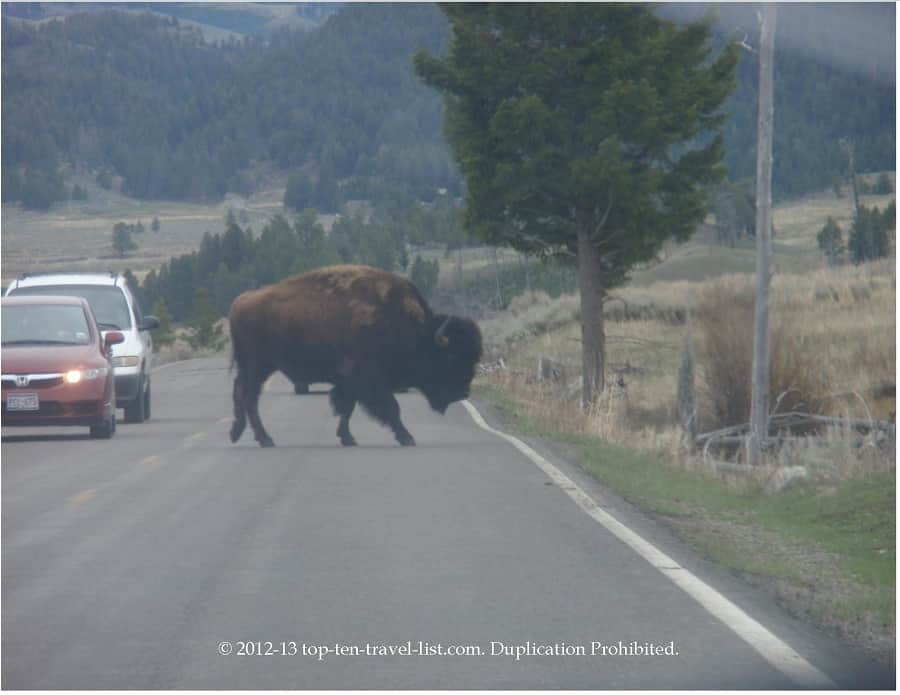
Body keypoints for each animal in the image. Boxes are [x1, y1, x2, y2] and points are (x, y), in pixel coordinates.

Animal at [228, 265, 482, 447]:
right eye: (450, 358)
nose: (463, 392)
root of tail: (239, 301)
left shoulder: (350, 383)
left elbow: (346, 409)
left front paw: (347, 438)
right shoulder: (368, 379)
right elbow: (391, 407)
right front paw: (407, 437)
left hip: (254, 368)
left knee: (241, 392)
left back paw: (238, 433)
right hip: (257, 367)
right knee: (250, 398)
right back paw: (265, 439)